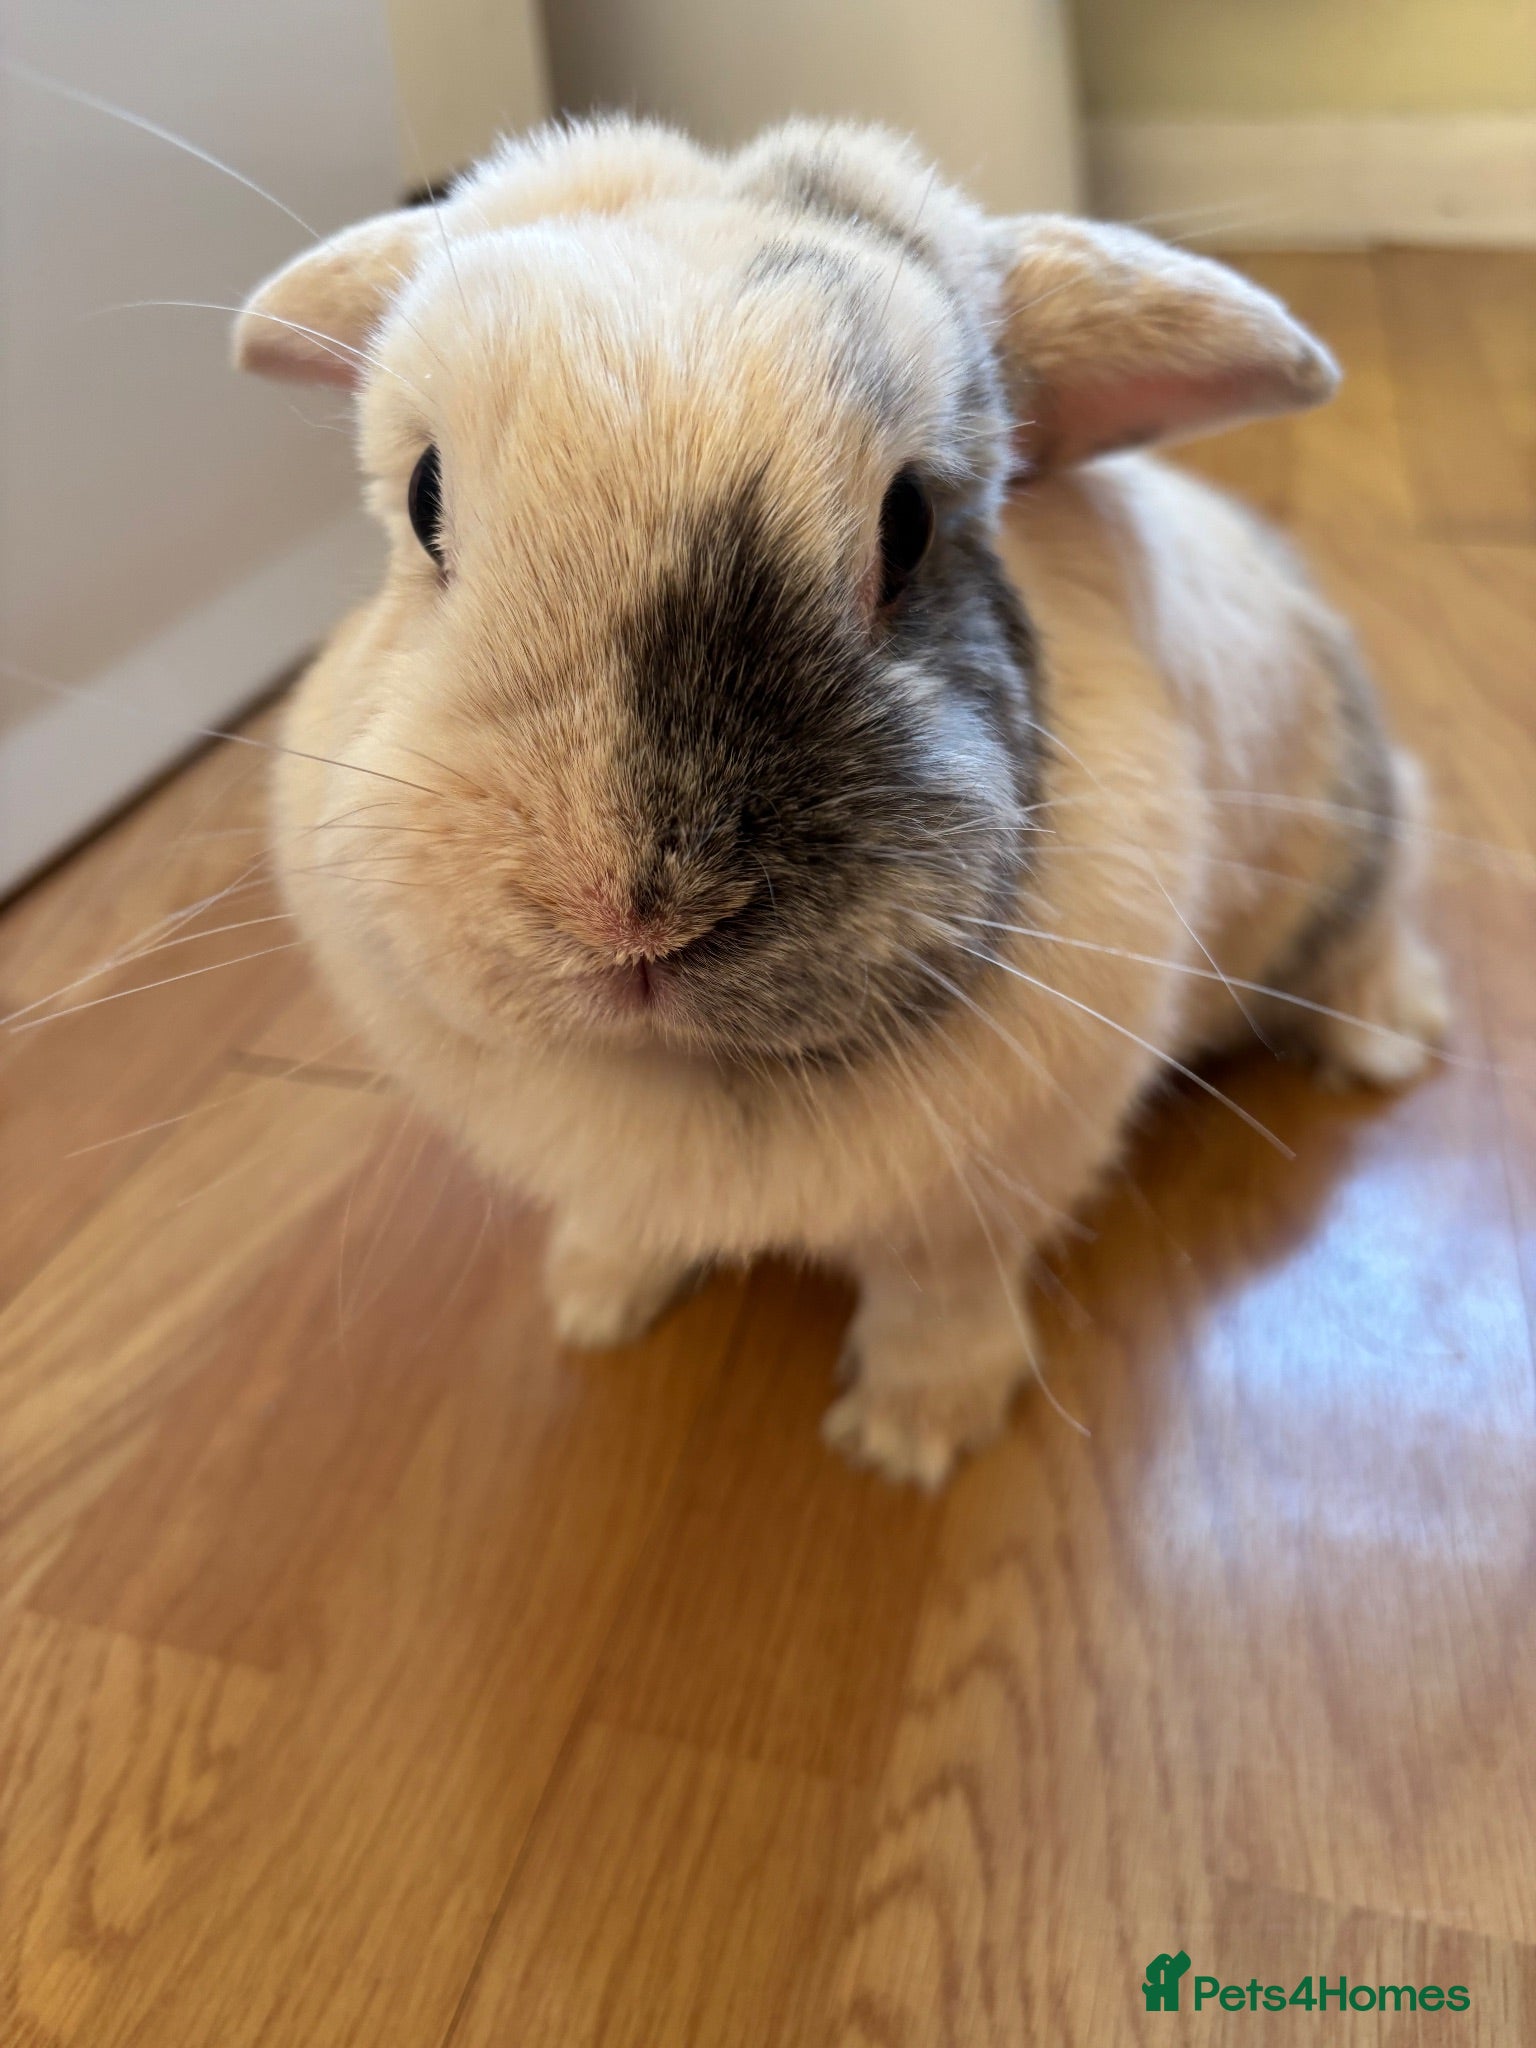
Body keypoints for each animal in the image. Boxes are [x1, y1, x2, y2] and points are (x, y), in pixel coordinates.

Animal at [234, 116, 1448, 1487]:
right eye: (424, 497)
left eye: (908, 523)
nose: (624, 911)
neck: (700, 1076)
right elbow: (625, 1226)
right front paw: (592, 1305)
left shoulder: (979, 1200)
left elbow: (937, 1304)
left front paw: (908, 1441)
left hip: (1353, 830)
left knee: (1378, 929)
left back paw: (1379, 1045)